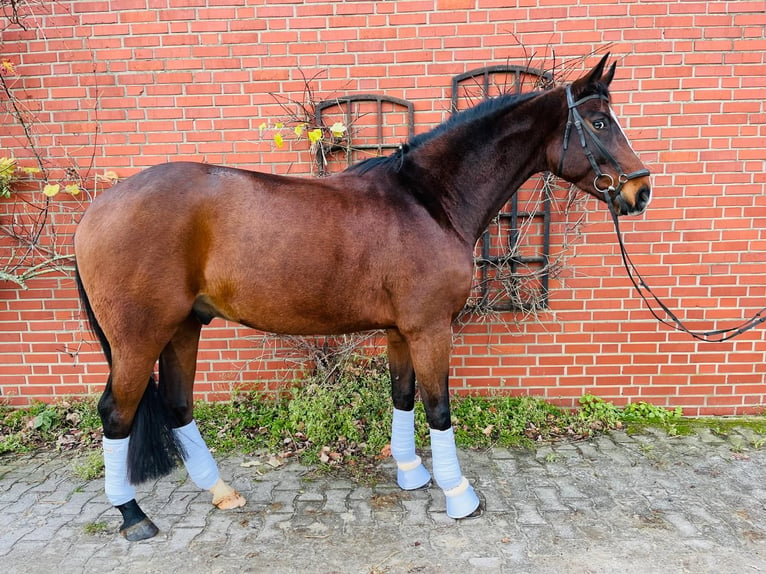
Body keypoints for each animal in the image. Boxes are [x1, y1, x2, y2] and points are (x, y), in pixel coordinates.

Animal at [73, 55, 656, 544]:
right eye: (599, 123)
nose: (640, 190)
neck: (428, 201)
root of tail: (96, 210)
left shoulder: (401, 331)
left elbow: (402, 397)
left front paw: (411, 474)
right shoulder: (429, 329)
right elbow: (439, 408)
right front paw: (459, 495)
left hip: (183, 328)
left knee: (176, 405)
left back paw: (220, 492)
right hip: (140, 336)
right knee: (116, 414)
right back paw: (133, 516)